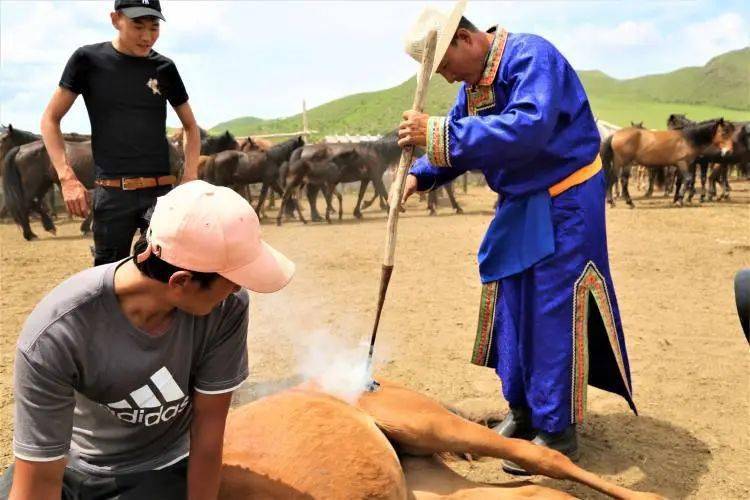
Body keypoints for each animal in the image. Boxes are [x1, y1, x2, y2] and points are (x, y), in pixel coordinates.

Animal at [604, 119, 736, 207]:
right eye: (724, 132)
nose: (729, 151)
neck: (688, 138)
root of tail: (614, 135)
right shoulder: (683, 163)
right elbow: (688, 179)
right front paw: (680, 200)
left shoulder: (682, 165)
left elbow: (680, 182)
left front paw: (677, 198)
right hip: (622, 162)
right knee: (614, 179)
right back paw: (613, 201)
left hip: (626, 164)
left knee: (621, 180)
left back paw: (627, 202)